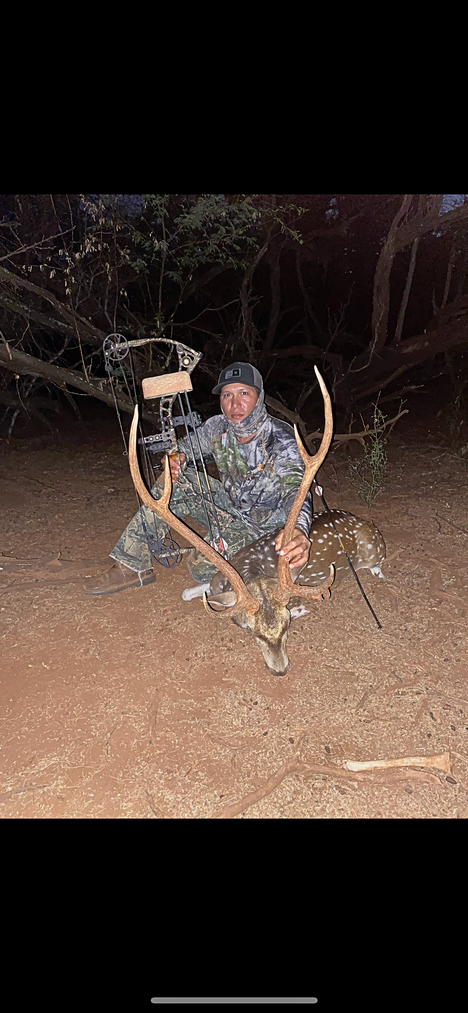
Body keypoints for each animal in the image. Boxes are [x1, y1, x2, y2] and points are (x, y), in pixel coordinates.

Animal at [128, 367, 386, 676]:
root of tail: (364, 521)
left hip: (374, 550)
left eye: (287, 627)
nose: (281, 670)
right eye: (253, 632)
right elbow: (189, 593)